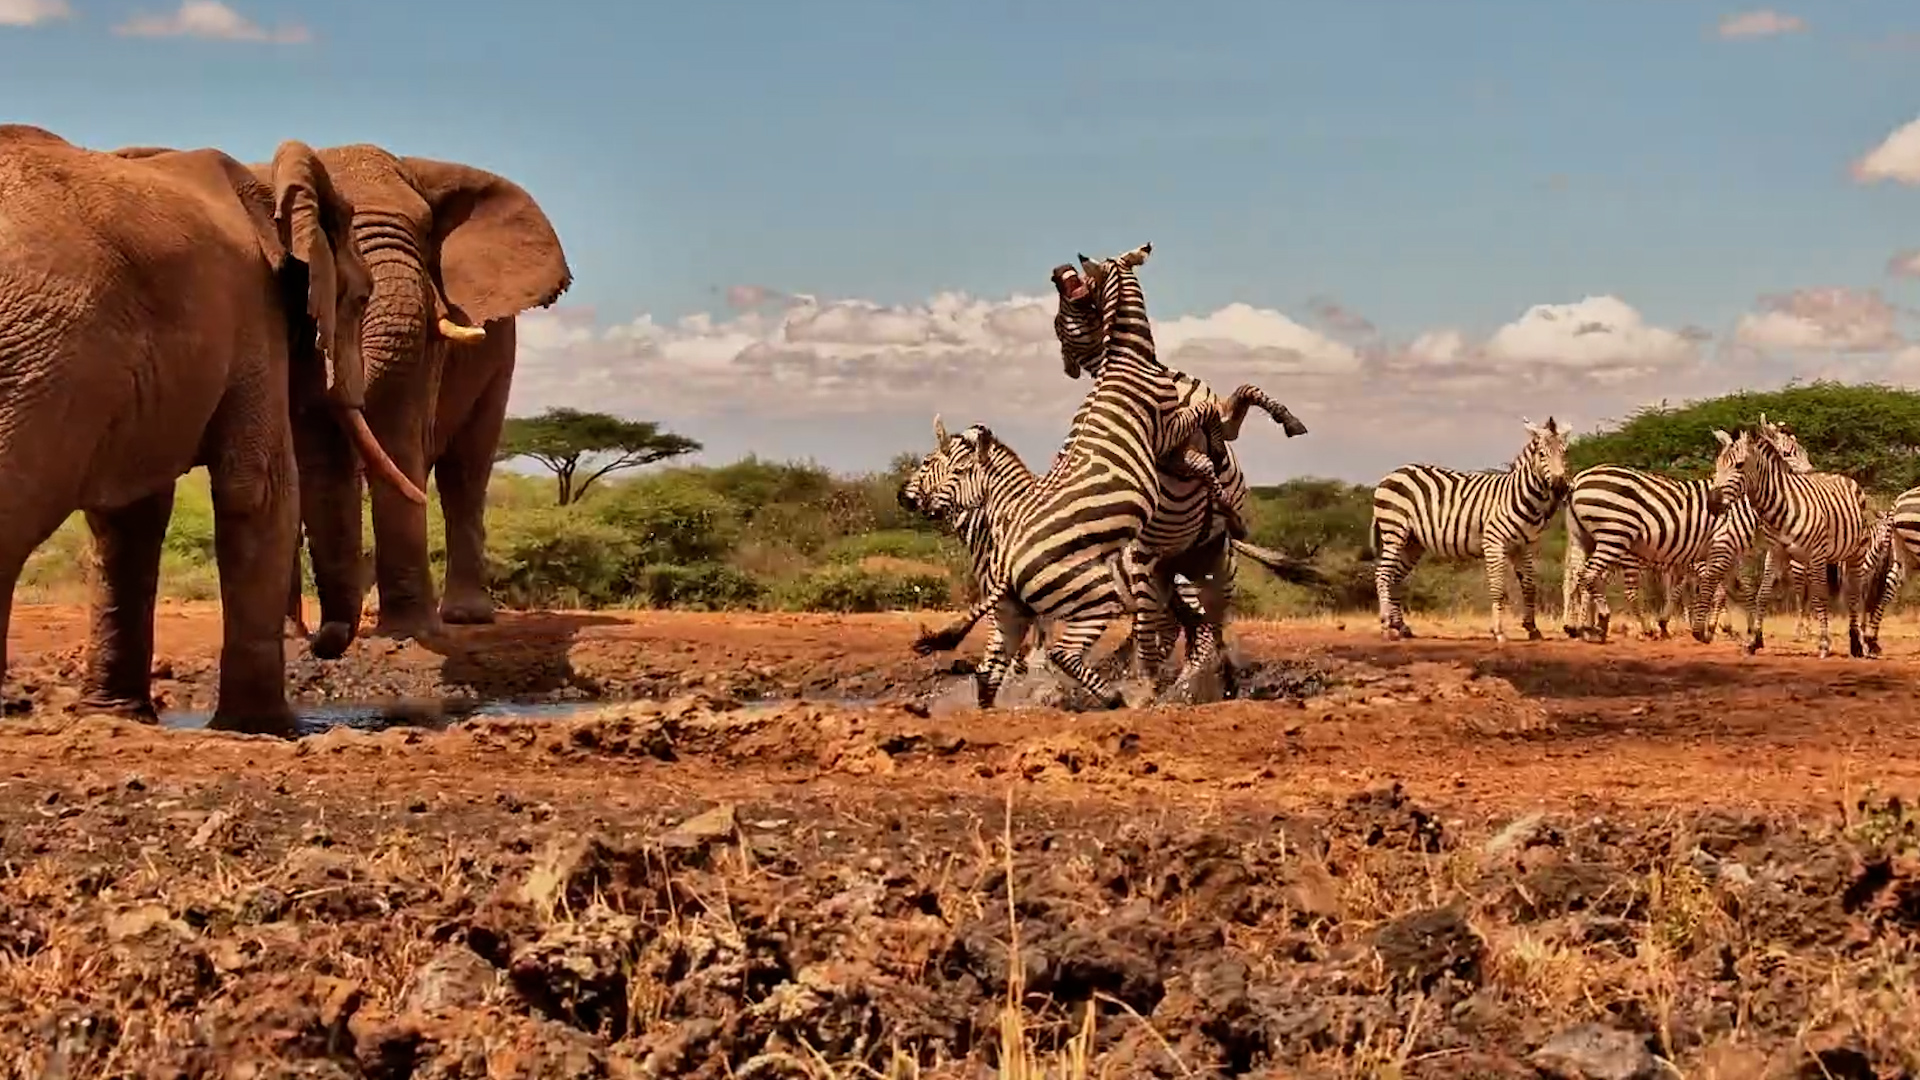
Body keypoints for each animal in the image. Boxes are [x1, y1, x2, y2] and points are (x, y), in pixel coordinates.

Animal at [0, 125, 422, 730]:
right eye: (361, 297)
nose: (324, 641)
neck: (266, 187)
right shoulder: (252, 312)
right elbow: (261, 488)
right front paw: (266, 728)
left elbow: (131, 517)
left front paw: (121, 717)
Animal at [264, 145, 572, 644]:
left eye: (427, 228)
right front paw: (290, 639)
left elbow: (398, 432)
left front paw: (408, 634)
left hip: (500, 360)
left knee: (464, 471)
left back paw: (465, 616)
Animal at [1368, 420, 1571, 643]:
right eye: (1542, 454)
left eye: (1565, 452)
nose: (1561, 487)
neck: (1519, 496)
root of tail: (1395, 472)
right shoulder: (1494, 543)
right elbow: (1498, 588)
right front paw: (1498, 631)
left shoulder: (1523, 546)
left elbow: (1529, 586)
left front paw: (1532, 628)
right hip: (1394, 532)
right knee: (1383, 575)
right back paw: (1386, 626)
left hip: (1412, 542)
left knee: (1395, 578)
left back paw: (1401, 626)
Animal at [1698, 421, 1871, 658]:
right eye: (1718, 464)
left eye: (1739, 465)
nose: (1712, 503)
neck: (1781, 505)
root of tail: (1844, 477)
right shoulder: (1775, 551)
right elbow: (1762, 593)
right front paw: (1754, 641)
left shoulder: (1817, 554)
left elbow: (1820, 596)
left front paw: (1824, 644)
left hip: (1856, 552)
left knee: (1854, 593)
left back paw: (1856, 643)